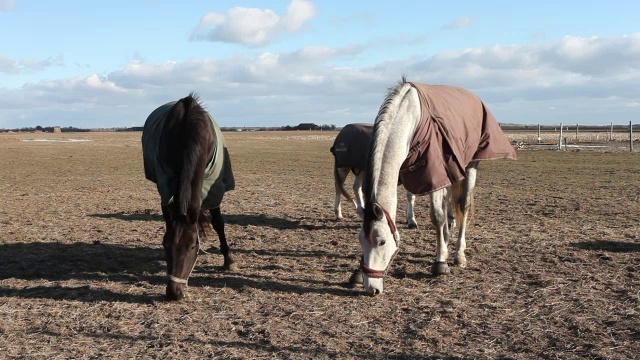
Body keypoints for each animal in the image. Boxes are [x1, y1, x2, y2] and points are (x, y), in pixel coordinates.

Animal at [141, 93, 236, 300]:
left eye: (192, 246)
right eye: (166, 244)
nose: (174, 292)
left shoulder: (214, 184)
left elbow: (218, 223)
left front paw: (229, 260)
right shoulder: (165, 183)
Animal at [360, 79, 516, 296]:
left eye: (382, 241)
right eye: (360, 240)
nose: (371, 288)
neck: (410, 116)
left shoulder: (434, 174)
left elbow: (437, 216)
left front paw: (440, 261)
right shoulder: (415, 173)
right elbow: (419, 202)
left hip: (471, 165)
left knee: (463, 207)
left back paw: (459, 253)